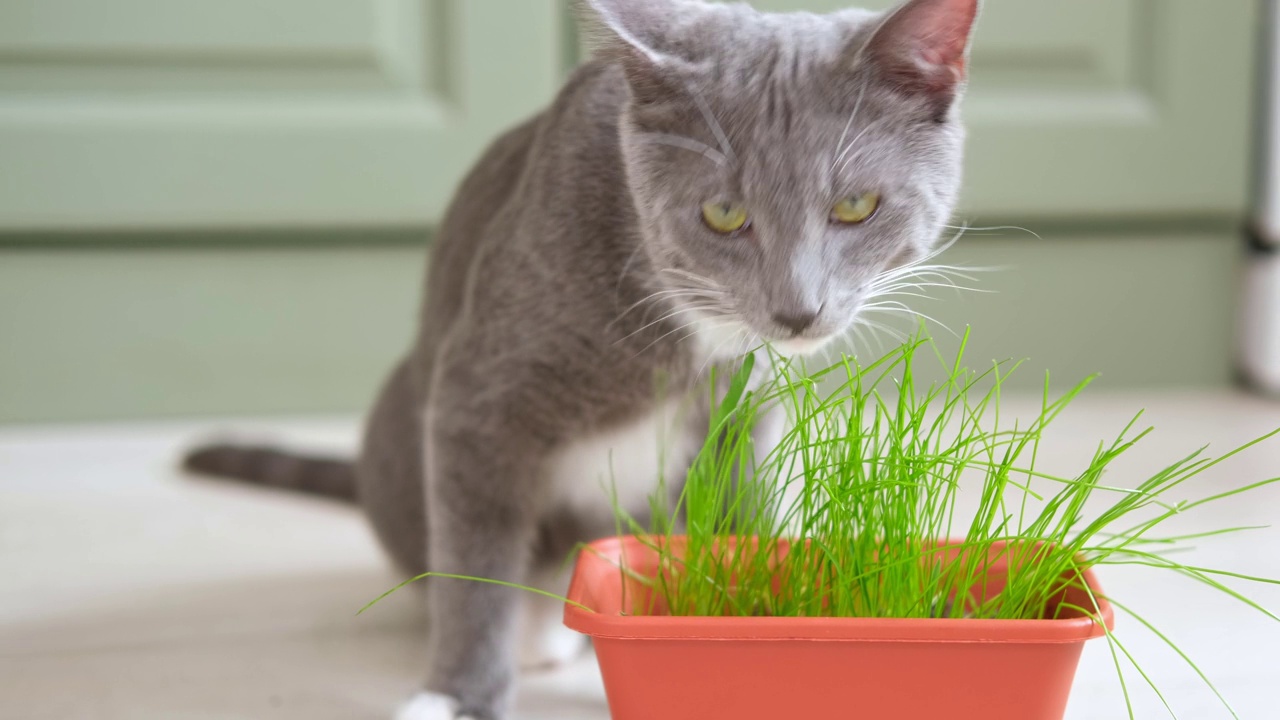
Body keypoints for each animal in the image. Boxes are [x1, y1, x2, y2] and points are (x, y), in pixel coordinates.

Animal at [183, 1, 977, 717]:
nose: (797, 309)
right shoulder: (479, 396)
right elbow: (476, 567)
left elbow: (735, 529)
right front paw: (456, 697)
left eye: (855, 206)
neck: (691, 334)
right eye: (723, 214)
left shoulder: (741, 417)